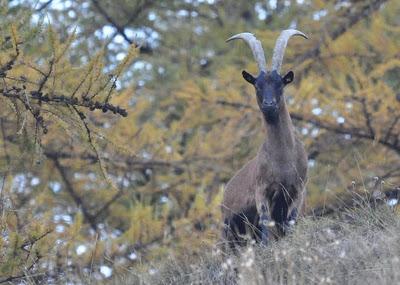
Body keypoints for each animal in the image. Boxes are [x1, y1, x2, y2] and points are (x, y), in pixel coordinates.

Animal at [223, 29, 308, 246]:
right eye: (257, 85)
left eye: (280, 84)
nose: (269, 105)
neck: (283, 160)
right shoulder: (262, 192)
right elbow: (265, 229)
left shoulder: (297, 191)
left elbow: (290, 224)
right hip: (227, 229)